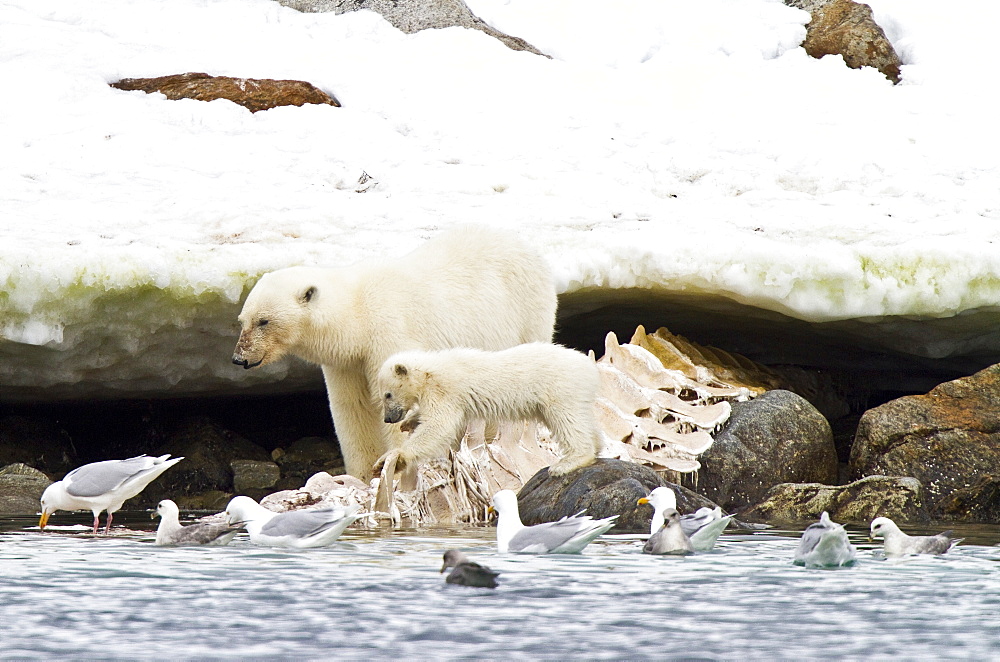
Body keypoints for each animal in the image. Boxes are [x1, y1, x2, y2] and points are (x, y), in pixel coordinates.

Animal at [235, 226, 564, 480]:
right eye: (242, 320)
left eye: (264, 321)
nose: (240, 358)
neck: (358, 315)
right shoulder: (347, 361)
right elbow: (353, 407)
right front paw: (362, 475)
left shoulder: (389, 332)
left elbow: (396, 400)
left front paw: (394, 465)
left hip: (527, 314)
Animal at [374, 344, 592, 480]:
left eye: (387, 395)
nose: (388, 418)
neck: (430, 370)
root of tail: (590, 368)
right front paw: (408, 422)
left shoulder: (444, 390)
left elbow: (439, 424)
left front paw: (394, 458)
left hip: (559, 387)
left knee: (568, 421)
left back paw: (567, 463)